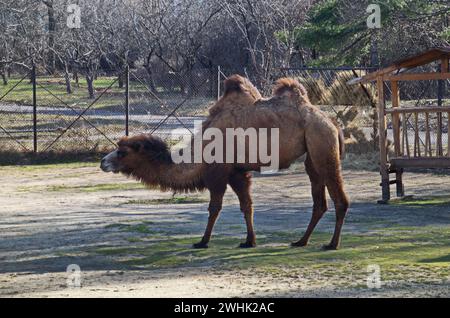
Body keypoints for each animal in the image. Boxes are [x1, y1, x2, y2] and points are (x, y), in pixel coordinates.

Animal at [100, 75, 350, 251]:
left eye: (122, 152)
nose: (103, 162)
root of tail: (331, 122)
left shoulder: (218, 173)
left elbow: (214, 207)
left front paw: (202, 241)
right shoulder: (236, 173)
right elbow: (246, 205)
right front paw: (249, 241)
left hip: (322, 142)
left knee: (339, 198)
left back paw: (332, 244)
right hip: (312, 154)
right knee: (319, 201)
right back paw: (301, 241)